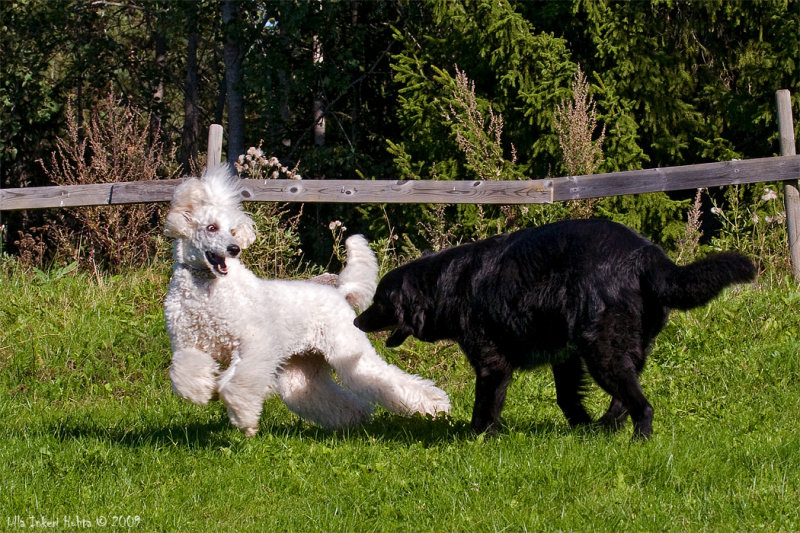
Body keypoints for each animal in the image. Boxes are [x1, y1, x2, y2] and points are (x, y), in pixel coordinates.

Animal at [354, 218, 752, 438]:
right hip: (620, 350)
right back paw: (606, 427)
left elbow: (485, 406)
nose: (357, 321)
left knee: (641, 404)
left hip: (602, 352)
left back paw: (639, 437)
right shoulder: (566, 357)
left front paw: (478, 437)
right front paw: (581, 425)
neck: (447, 285)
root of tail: (647, 255)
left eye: (379, 301)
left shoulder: (492, 363)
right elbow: (566, 397)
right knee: (623, 399)